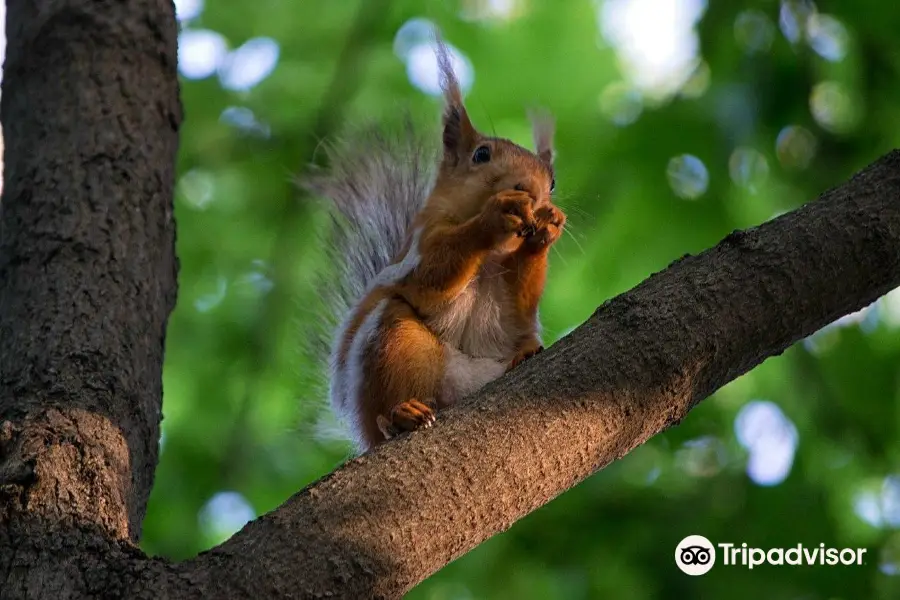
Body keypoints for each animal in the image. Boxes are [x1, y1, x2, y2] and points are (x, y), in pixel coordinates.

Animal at [306, 34, 568, 450]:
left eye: (553, 182)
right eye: (481, 154)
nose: (530, 189)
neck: (489, 259)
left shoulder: (513, 303)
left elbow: (518, 311)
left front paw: (547, 227)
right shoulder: (422, 241)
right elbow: (433, 276)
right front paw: (494, 215)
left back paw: (524, 354)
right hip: (394, 343)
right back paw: (401, 415)